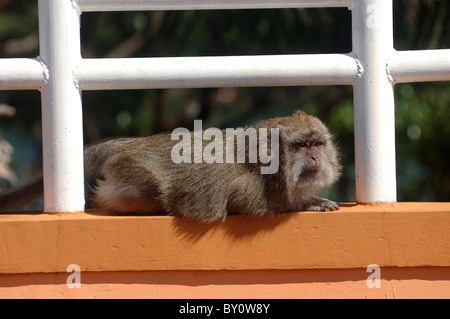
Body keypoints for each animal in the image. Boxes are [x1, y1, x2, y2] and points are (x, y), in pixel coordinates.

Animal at [0, 111, 342, 224]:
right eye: (302, 146)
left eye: (317, 144)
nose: (315, 157)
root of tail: (129, 144)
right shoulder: (253, 185)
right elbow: (245, 205)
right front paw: (305, 205)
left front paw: (313, 199)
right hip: (132, 172)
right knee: (147, 193)